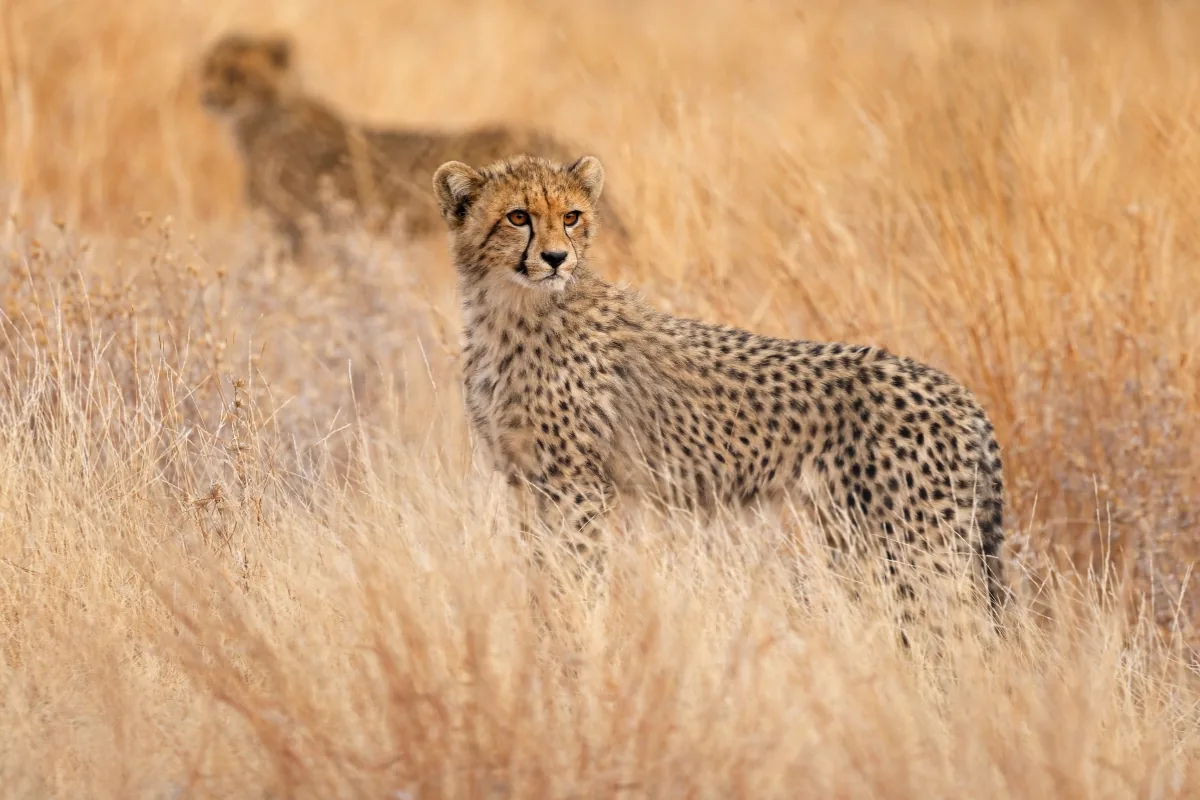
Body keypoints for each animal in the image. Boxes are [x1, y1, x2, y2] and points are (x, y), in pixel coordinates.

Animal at [431, 153, 1008, 640]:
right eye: (518, 217)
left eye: (571, 216)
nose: (555, 258)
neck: (510, 311)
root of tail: (960, 393)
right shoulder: (526, 481)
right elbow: (538, 567)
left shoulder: (577, 487)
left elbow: (575, 573)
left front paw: (573, 640)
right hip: (863, 536)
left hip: (916, 545)